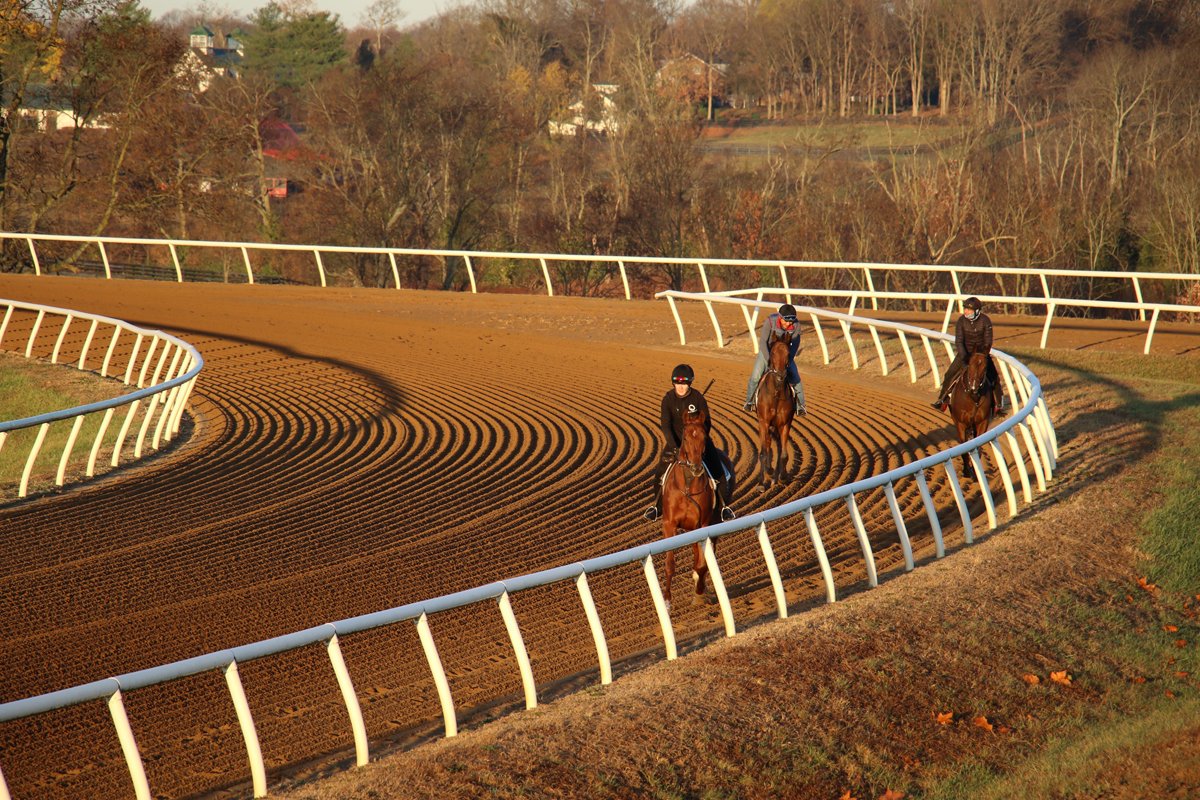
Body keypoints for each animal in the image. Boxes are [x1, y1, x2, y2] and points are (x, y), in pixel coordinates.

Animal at [660, 407, 716, 610]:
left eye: (704, 437)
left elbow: (702, 564)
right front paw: (666, 601)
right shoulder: (669, 524)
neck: (687, 487)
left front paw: (699, 592)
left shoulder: (704, 524)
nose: (697, 467)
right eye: (685, 437)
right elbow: (670, 564)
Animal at [754, 332, 797, 487]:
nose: (780, 375)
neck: (776, 395)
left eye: (788, 353)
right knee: (765, 446)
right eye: (772, 353)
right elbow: (763, 453)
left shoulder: (785, 423)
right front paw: (762, 481)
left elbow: (783, 454)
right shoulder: (764, 422)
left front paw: (782, 476)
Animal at [948, 351, 996, 480]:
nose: (974, 388)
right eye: (970, 365)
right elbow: (964, 448)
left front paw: (975, 471)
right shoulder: (961, 424)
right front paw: (966, 472)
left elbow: (977, 448)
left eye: (985, 367)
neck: (973, 398)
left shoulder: (982, 422)